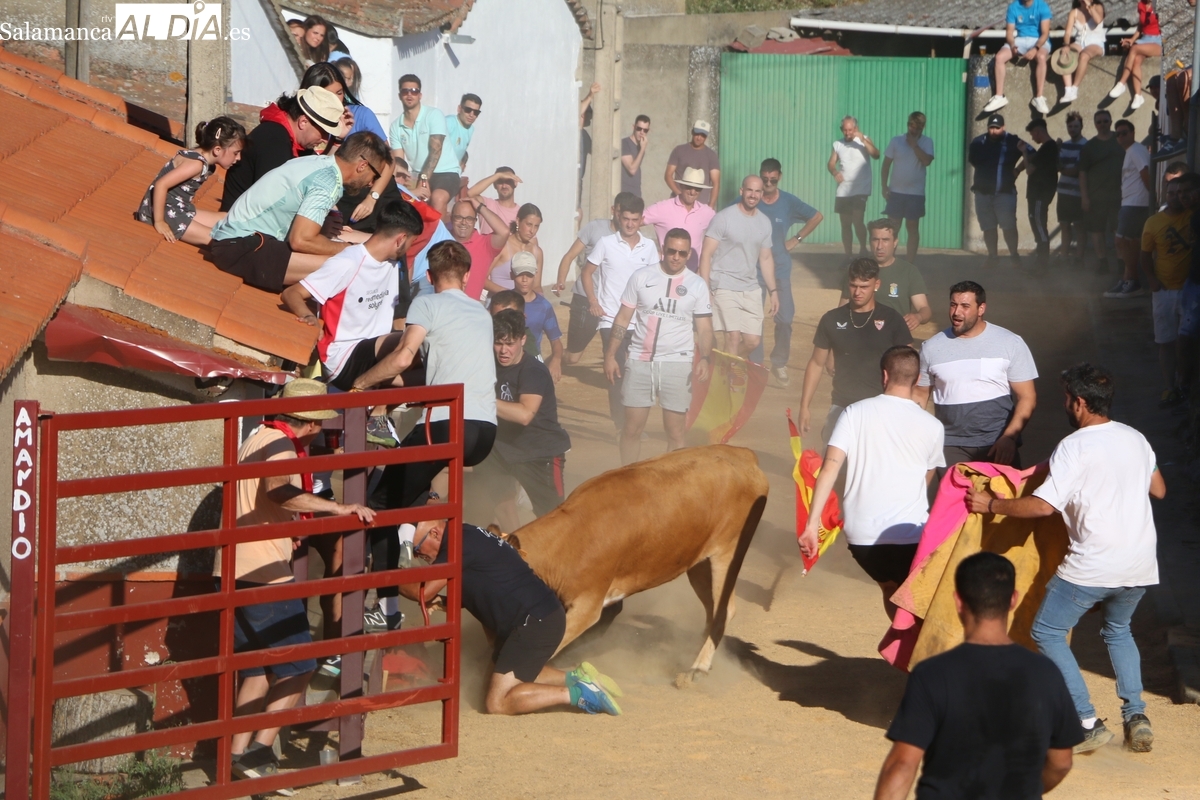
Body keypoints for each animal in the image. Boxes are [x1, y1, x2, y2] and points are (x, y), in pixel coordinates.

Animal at [512, 445, 769, 682]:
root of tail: (742, 453)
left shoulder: (586, 607)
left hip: (727, 553)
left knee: (725, 609)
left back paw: (698, 666)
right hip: (699, 564)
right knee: (711, 609)